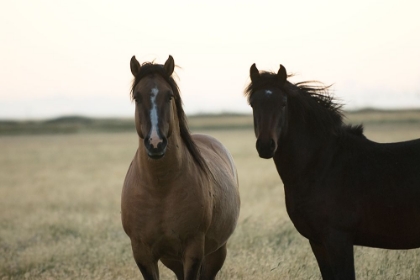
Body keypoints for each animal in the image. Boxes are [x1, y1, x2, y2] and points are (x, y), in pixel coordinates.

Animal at [121, 55, 240, 280]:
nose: (156, 143)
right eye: (138, 97)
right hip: (172, 259)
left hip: (216, 252)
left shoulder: (193, 251)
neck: (160, 189)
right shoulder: (142, 253)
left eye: (169, 96)